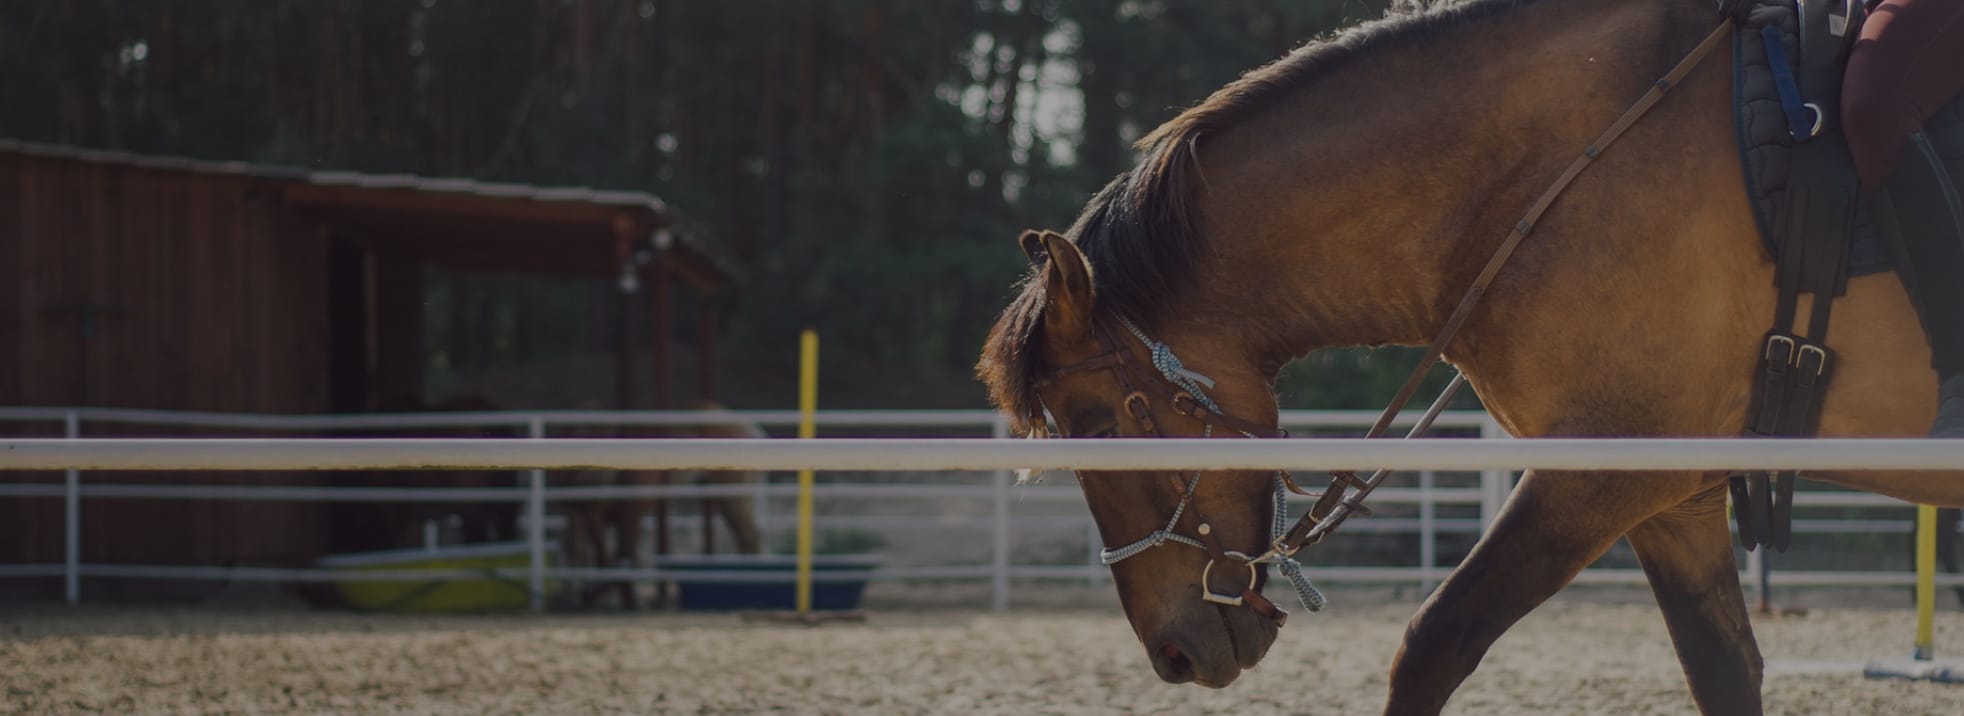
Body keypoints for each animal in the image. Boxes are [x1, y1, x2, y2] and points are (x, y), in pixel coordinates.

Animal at [976, 1, 1964, 713]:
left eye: (1099, 429)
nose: (1176, 653)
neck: (1562, 167)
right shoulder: (1669, 492)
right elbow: (1723, 670)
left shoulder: (1595, 474)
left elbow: (1433, 646)